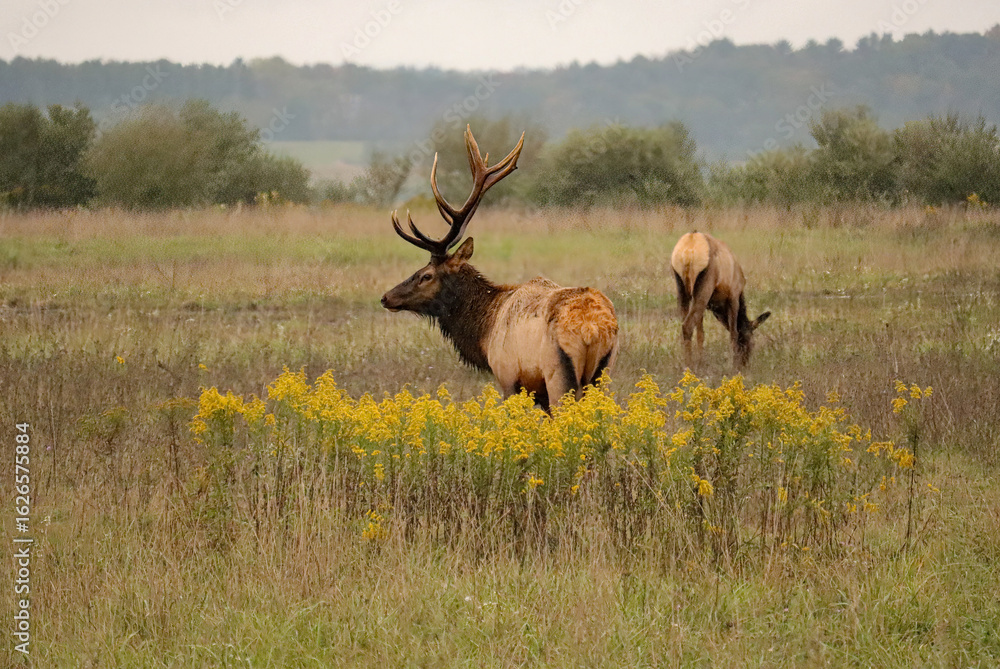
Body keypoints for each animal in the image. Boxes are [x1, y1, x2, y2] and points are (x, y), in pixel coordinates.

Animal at [381, 126, 619, 413]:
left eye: (426, 275)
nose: (386, 297)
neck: (485, 331)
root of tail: (591, 328)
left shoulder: (507, 376)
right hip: (603, 372)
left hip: (559, 373)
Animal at [670, 231, 770, 370]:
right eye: (751, 341)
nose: (744, 364)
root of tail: (691, 243)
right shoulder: (733, 297)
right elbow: (734, 333)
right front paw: (734, 365)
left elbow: (701, 333)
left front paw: (702, 362)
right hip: (703, 288)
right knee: (687, 326)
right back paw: (689, 367)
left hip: (682, 289)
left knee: (684, 325)